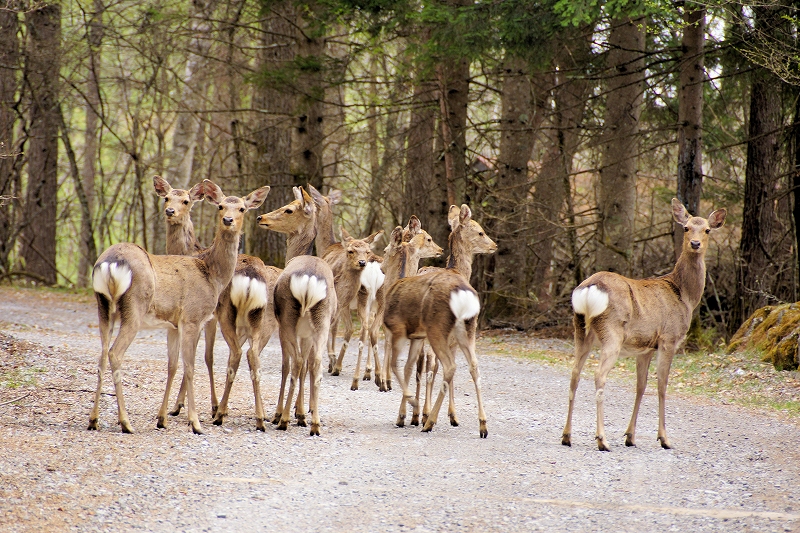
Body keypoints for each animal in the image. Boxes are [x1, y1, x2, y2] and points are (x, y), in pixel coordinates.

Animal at [87, 179, 268, 432]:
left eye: (242, 208)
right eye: (221, 206)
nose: (228, 220)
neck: (211, 272)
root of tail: (112, 263)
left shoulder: (173, 324)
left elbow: (173, 365)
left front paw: (163, 418)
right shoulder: (193, 317)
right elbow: (190, 366)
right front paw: (194, 421)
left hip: (103, 307)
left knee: (102, 354)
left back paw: (94, 420)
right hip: (135, 309)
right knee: (115, 353)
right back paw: (127, 422)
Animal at [258, 185, 336, 434]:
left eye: (289, 209)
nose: (261, 217)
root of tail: (310, 280)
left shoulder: (284, 329)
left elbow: (287, 366)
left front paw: (283, 413)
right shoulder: (307, 334)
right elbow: (307, 366)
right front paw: (301, 412)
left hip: (288, 319)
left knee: (296, 364)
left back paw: (282, 420)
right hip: (321, 321)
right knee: (315, 365)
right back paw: (315, 423)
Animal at [382, 204, 494, 436]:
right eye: (480, 232)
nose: (494, 245)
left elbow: (415, 368)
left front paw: (410, 413)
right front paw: (448, 415)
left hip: (436, 333)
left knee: (435, 367)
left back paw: (425, 417)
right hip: (458, 331)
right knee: (461, 366)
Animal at [564, 197, 724, 450]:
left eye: (707, 229)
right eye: (686, 228)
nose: (696, 243)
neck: (685, 295)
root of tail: (589, 288)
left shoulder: (646, 348)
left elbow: (640, 386)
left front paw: (630, 436)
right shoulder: (669, 338)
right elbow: (662, 385)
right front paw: (664, 438)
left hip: (581, 330)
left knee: (574, 374)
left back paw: (566, 436)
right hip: (612, 333)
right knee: (599, 375)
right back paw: (602, 440)